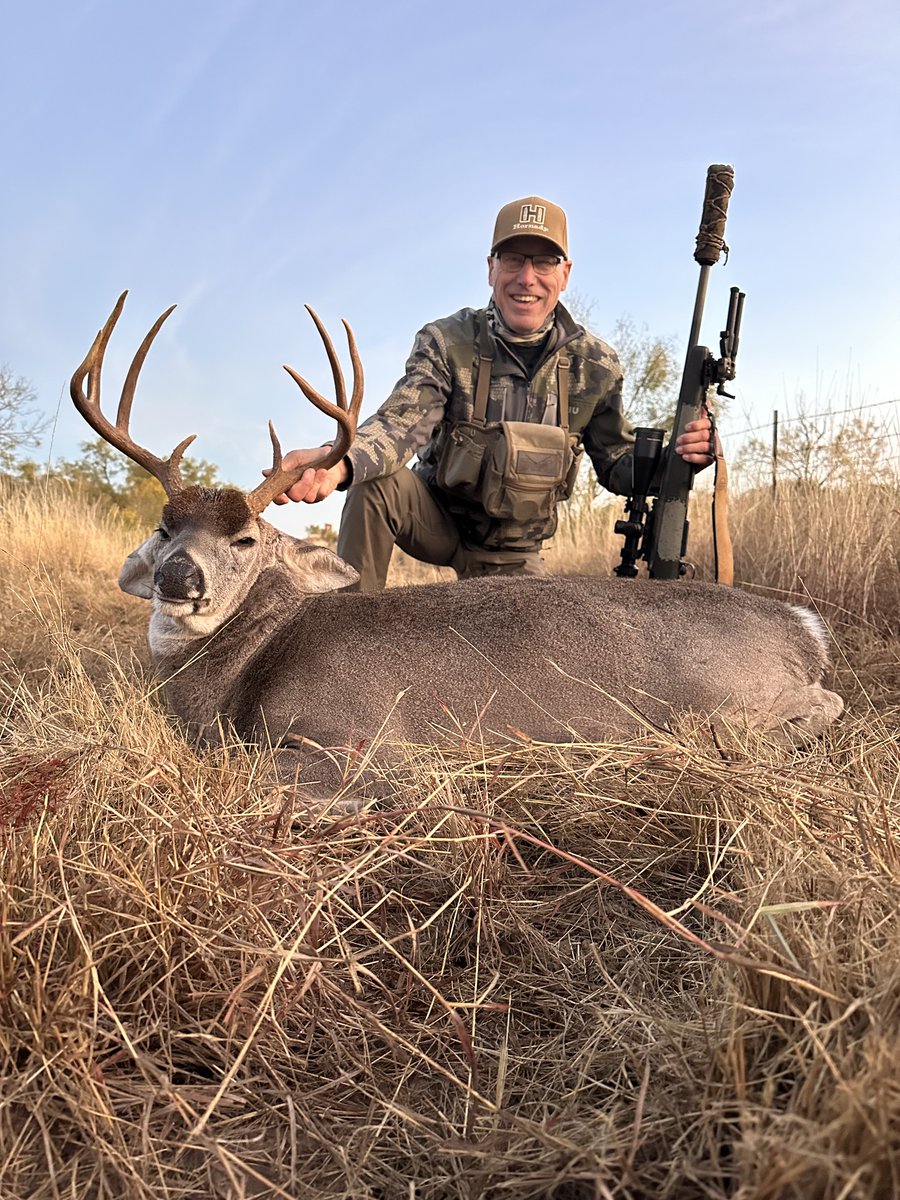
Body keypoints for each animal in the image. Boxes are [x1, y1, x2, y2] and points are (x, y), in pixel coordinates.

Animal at [71, 294, 844, 804]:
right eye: (165, 527)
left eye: (246, 538)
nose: (178, 577)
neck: (249, 667)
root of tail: (803, 626)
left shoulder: (365, 743)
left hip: (725, 696)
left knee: (824, 706)